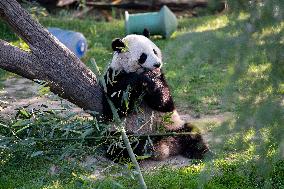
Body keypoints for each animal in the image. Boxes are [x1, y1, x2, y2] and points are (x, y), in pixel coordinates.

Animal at [100, 33, 209, 162]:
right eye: (143, 56)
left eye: (155, 51)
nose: (157, 64)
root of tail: (165, 145)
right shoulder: (112, 77)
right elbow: (114, 108)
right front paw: (139, 78)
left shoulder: (161, 76)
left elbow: (165, 103)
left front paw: (152, 79)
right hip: (123, 132)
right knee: (120, 145)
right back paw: (143, 148)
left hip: (173, 126)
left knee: (190, 132)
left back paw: (198, 152)